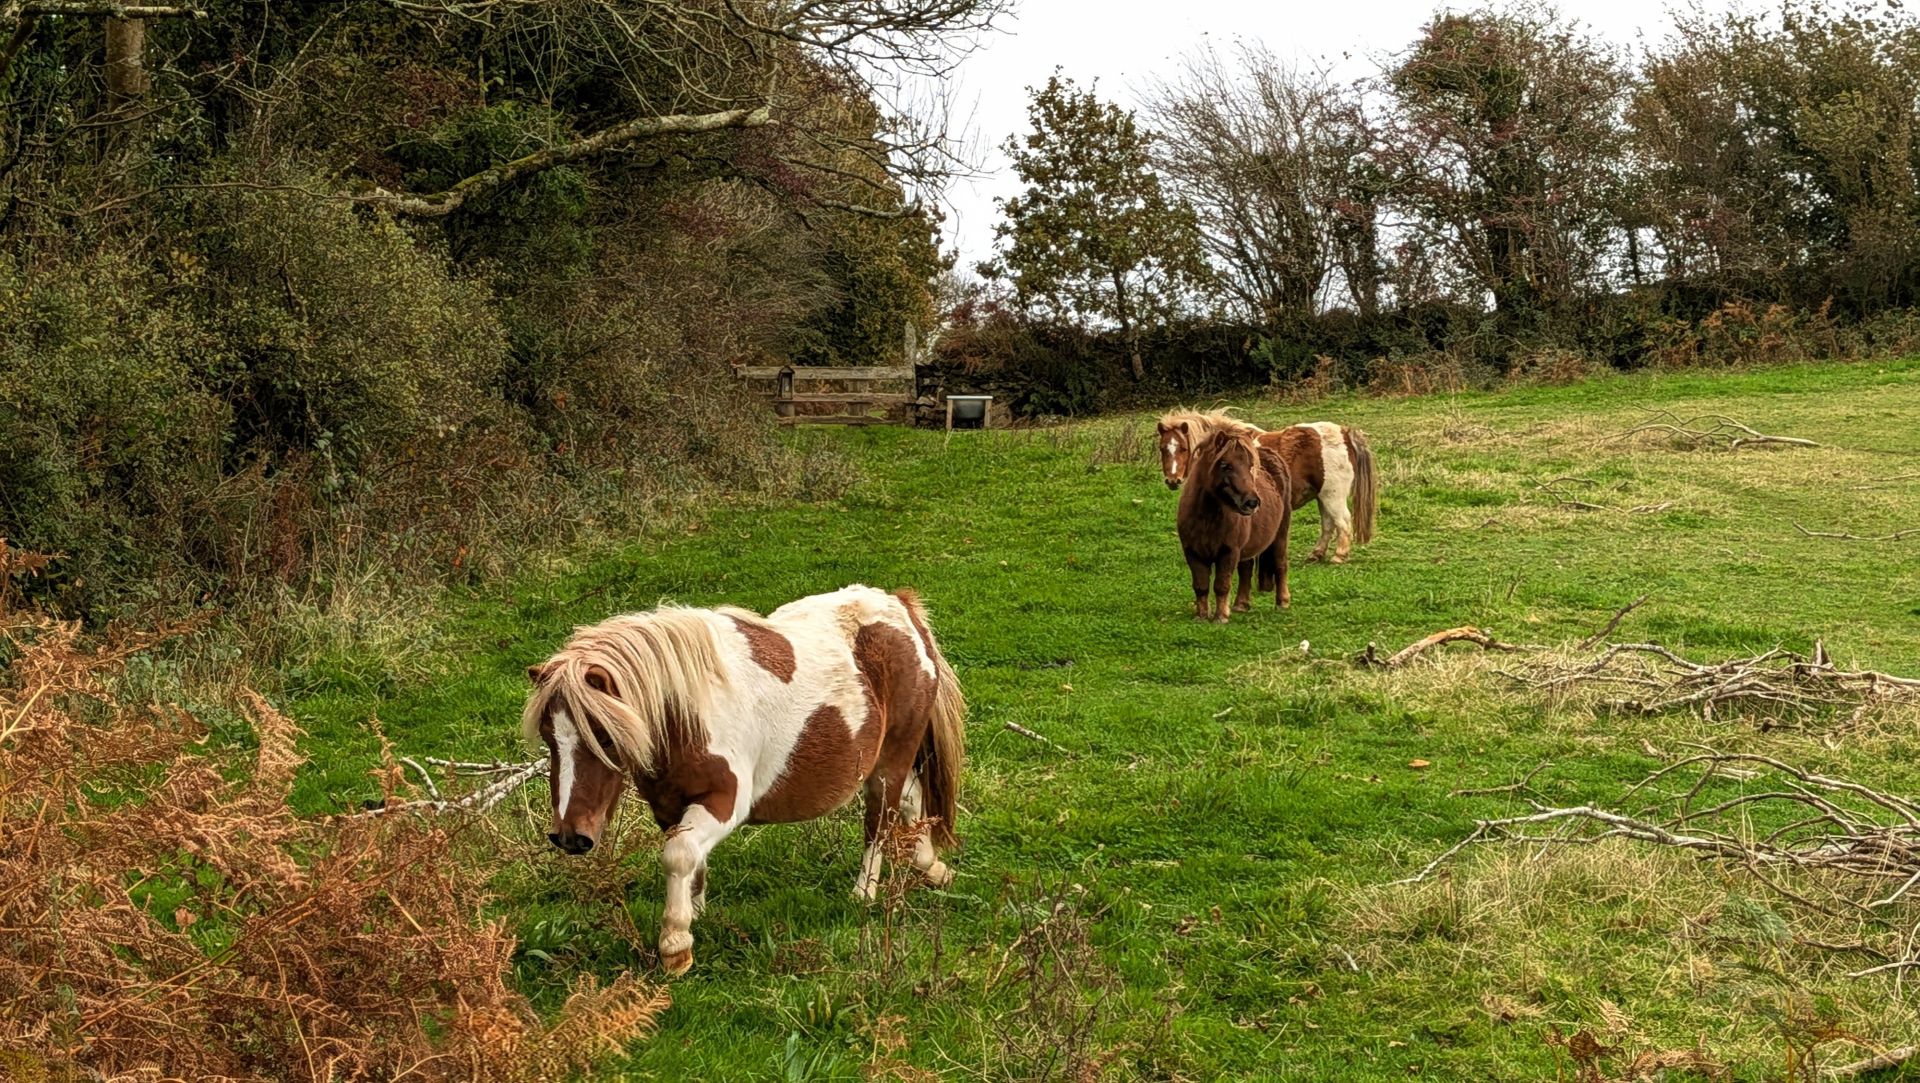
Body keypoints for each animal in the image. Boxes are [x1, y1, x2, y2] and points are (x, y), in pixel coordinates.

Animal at [521, 584, 966, 976]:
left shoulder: (724, 803)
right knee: (912, 801)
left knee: (881, 822)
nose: (570, 836)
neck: (689, 713)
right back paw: (931, 867)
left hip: (890, 761)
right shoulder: (669, 807)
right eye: (548, 736)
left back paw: (863, 894)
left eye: (604, 735)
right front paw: (695, 915)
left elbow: (679, 854)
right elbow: (691, 861)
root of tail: (902, 609)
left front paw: (675, 946)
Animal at [1156, 408, 1378, 563]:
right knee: (1328, 524)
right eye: (1162, 449)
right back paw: (1316, 554)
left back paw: (1339, 556)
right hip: (1323, 497)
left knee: (1343, 522)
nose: (1172, 481)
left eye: (1183, 448)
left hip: (1332, 496)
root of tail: (1344, 433)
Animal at [1176, 421, 1292, 622]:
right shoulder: (1192, 552)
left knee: (1280, 564)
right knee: (1246, 570)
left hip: (1280, 535)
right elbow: (1201, 585)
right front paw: (1201, 616)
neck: (1206, 519)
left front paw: (1220, 617)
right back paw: (1241, 605)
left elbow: (1221, 584)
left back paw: (1282, 602)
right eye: (1225, 465)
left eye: (1251, 465)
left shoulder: (1229, 551)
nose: (1252, 502)